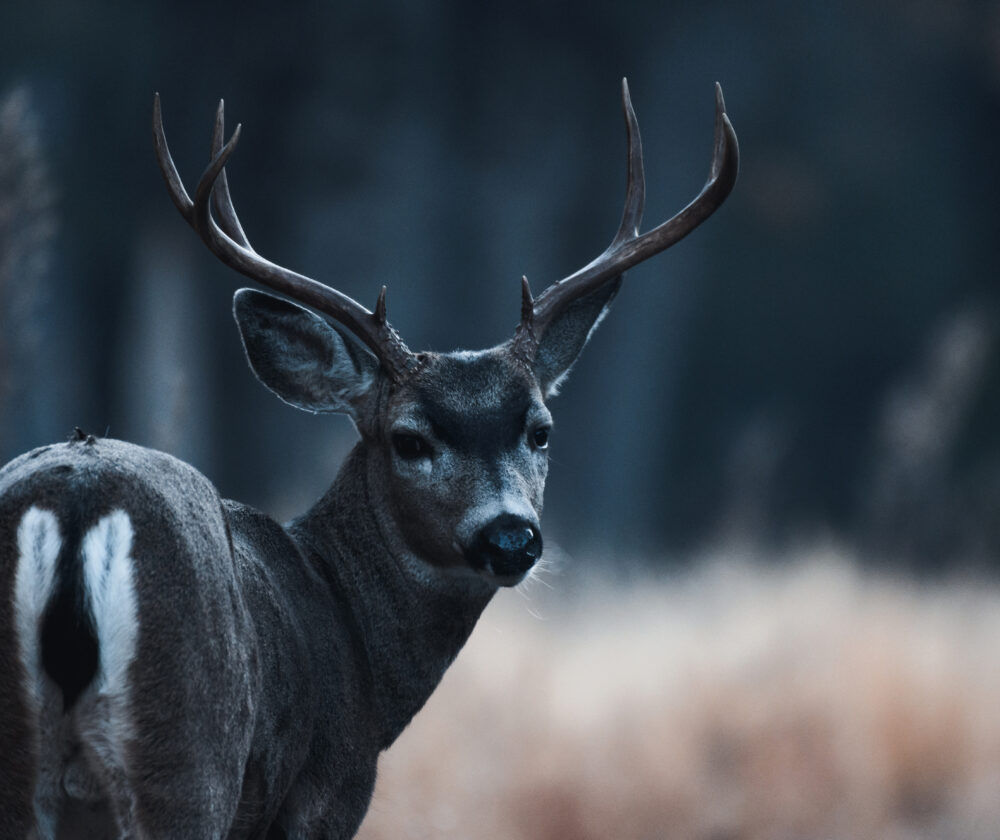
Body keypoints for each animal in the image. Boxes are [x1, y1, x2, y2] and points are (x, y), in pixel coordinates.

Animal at [0, 79, 737, 839]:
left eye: (540, 431)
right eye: (410, 438)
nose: (510, 536)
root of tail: (79, 505)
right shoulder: (324, 798)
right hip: (189, 754)